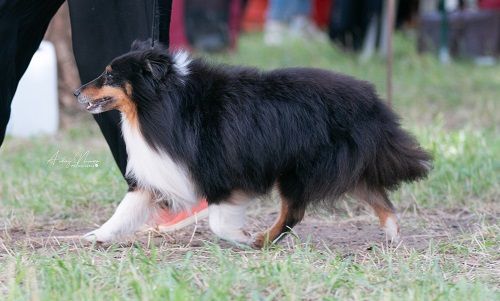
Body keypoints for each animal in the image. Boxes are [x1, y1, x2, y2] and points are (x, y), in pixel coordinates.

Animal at [73, 40, 430, 246]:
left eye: (109, 75)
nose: (76, 91)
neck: (162, 105)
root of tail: (373, 102)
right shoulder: (162, 169)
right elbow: (125, 209)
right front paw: (94, 235)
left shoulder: (221, 169)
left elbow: (218, 220)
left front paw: (240, 236)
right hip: (342, 164)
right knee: (376, 194)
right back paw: (393, 236)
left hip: (300, 167)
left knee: (293, 211)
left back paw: (262, 240)